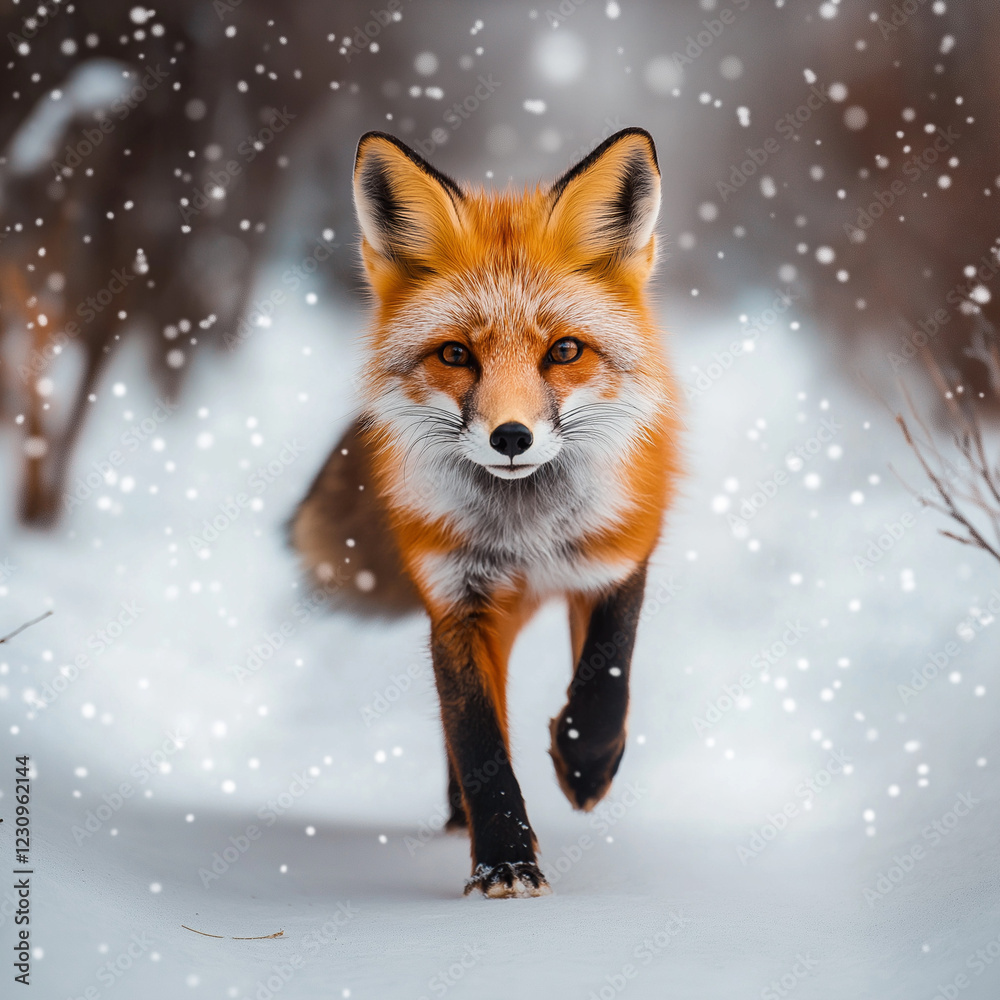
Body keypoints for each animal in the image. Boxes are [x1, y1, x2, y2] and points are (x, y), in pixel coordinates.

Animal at [292, 126, 682, 898]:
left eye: (564, 351)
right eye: (454, 354)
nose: (511, 437)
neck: (527, 534)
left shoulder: (618, 552)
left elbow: (608, 676)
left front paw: (584, 763)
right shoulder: (457, 597)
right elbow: (476, 735)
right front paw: (504, 859)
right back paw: (458, 813)